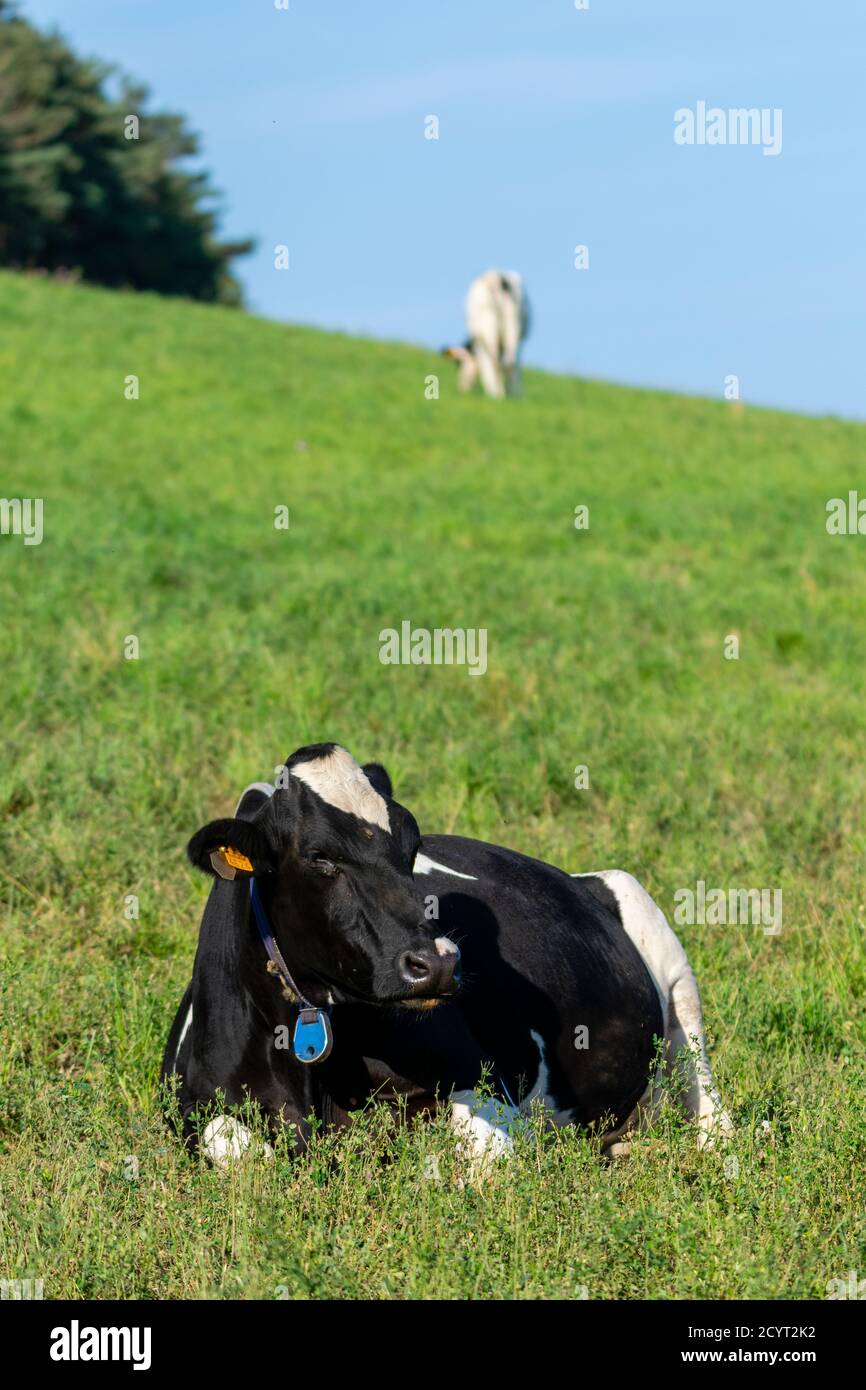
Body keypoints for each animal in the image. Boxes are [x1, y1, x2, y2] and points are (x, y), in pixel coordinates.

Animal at [162, 743, 732, 1172]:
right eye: (319, 856)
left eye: (411, 847)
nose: (436, 964)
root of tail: (581, 878)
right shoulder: (192, 1109)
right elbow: (236, 1149)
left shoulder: (483, 1089)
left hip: (668, 966)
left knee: (710, 1110)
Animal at [443, 269, 530, 398]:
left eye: (458, 364)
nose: (462, 388)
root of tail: (496, 278)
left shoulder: (479, 342)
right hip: (512, 325)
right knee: (509, 361)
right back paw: (506, 393)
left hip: (489, 326)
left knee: (496, 362)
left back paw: (498, 393)